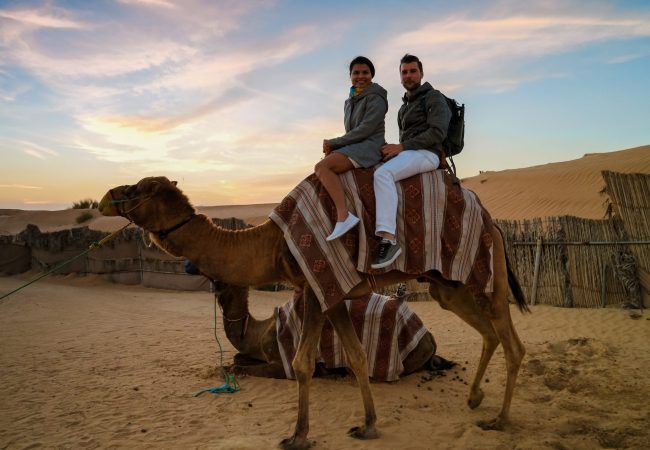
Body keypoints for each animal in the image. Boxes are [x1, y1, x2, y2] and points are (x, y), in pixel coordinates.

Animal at [212, 281, 449, 380]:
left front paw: (221, 370)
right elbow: (237, 358)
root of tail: (430, 337)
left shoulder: (281, 363)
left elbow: (237, 367)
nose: (213, 284)